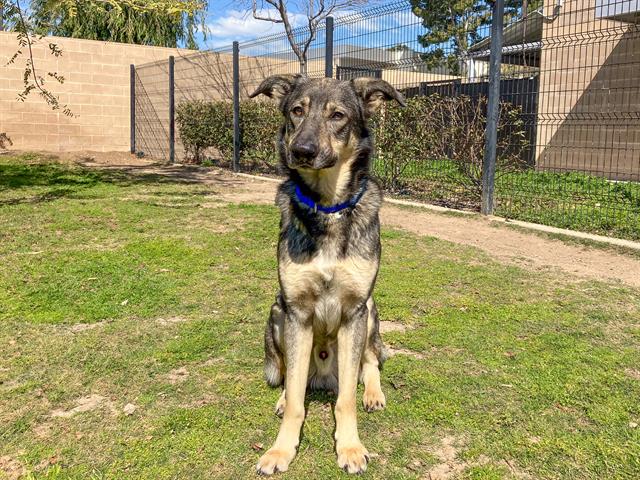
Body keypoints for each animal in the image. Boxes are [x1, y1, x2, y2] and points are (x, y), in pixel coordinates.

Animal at [250, 73, 404, 474]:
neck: (328, 207)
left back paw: (373, 393)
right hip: (277, 312)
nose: (301, 150)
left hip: (371, 313)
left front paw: (350, 447)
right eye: (296, 111)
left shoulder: (354, 312)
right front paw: (280, 450)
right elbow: (295, 401)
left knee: (369, 363)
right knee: (293, 380)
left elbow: (346, 398)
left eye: (337, 115)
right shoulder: (296, 311)